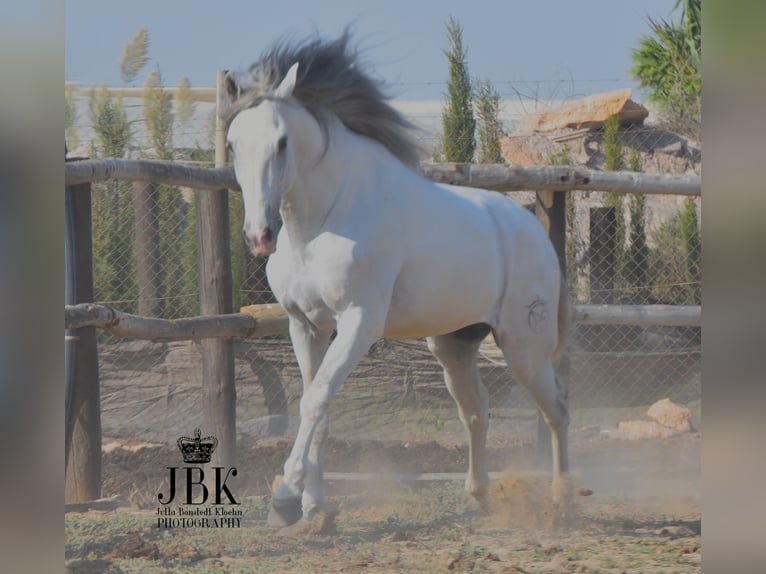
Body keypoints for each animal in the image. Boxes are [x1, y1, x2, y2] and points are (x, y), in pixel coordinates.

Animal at [222, 33, 568, 532]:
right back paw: (480, 493)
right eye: (232, 144)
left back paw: (563, 500)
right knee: (477, 411)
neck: (323, 222)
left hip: (525, 346)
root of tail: (535, 234)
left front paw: (284, 500)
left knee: (556, 408)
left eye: (282, 141)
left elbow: (314, 401)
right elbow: (319, 408)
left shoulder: (359, 322)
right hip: (454, 346)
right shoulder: (305, 326)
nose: (258, 236)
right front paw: (313, 508)